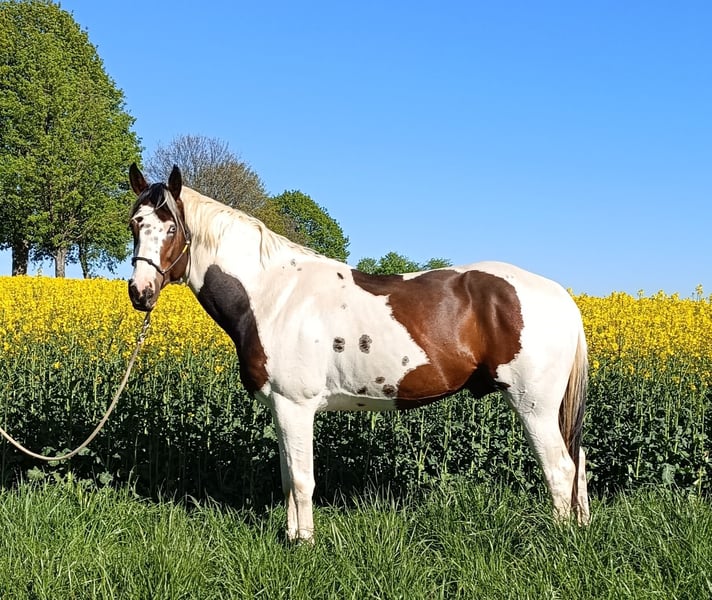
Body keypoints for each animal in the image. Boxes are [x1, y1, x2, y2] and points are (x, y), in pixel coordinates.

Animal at [127, 163, 590, 542]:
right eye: (135, 224)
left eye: (171, 229)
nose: (139, 292)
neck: (273, 294)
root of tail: (561, 296)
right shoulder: (281, 407)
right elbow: (288, 480)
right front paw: (293, 537)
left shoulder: (296, 405)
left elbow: (302, 481)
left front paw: (304, 545)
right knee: (578, 463)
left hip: (533, 406)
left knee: (559, 468)